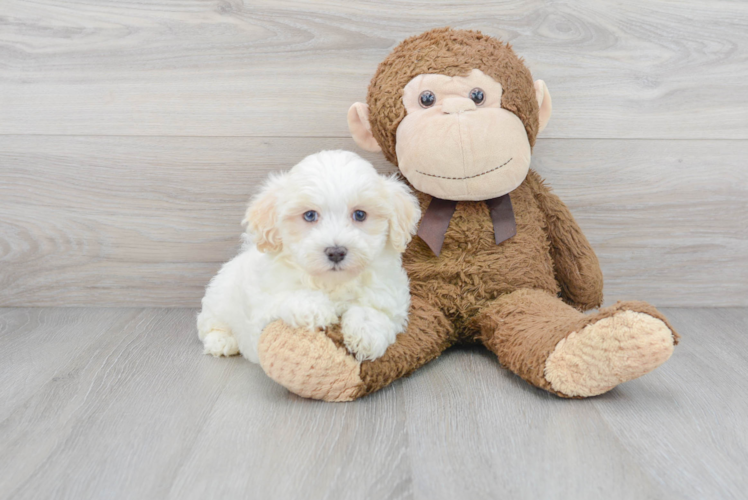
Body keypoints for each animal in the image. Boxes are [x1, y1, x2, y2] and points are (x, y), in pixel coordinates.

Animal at [197, 150, 420, 362]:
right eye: (310, 215)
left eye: (360, 215)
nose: (336, 252)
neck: (332, 283)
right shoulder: (262, 305)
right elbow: (286, 296)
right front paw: (315, 307)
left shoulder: (391, 297)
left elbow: (376, 310)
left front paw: (366, 332)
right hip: (218, 299)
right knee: (209, 323)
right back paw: (222, 340)